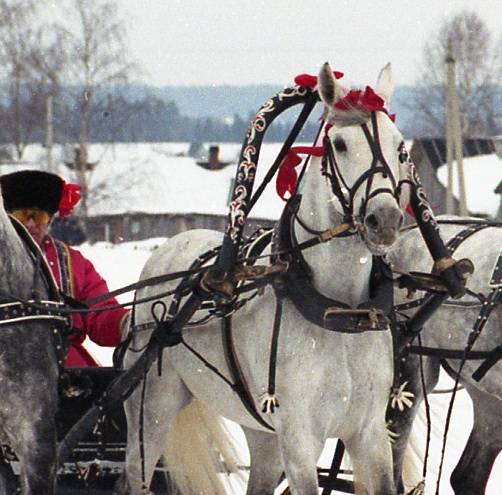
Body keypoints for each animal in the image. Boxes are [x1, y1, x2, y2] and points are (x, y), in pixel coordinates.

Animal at [116, 62, 408, 495]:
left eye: (400, 147)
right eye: (339, 144)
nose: (385, 220)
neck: (339, 311)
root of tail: (169, 248)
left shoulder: (369, 434)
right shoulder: (300, 439)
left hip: (262, 432)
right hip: (151, 410)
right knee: (137, 469)